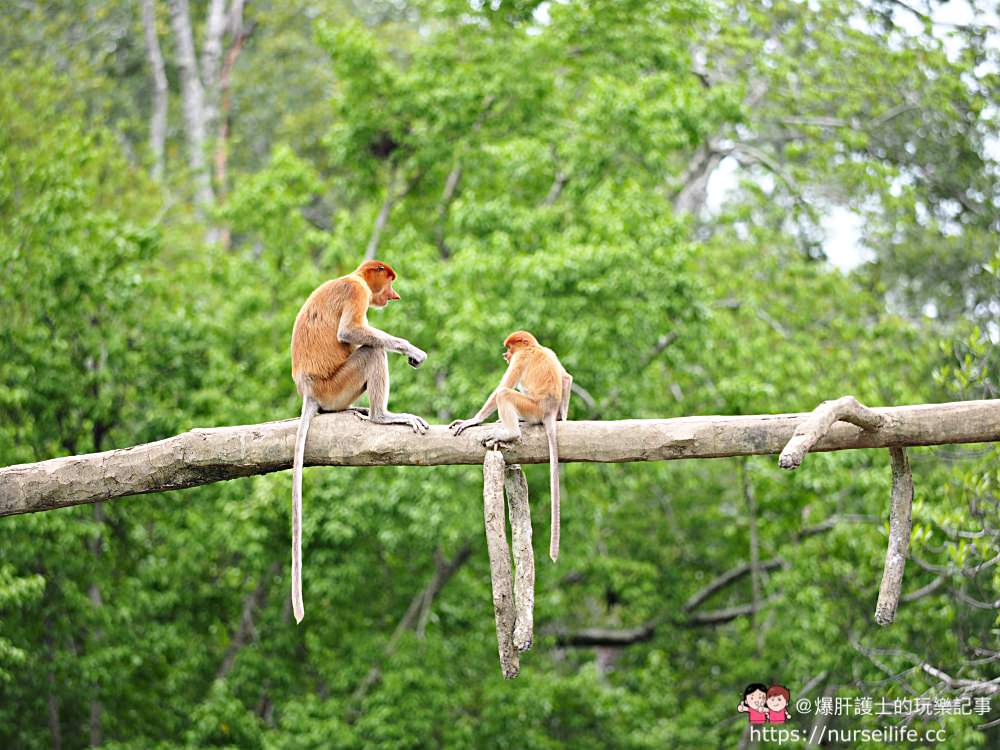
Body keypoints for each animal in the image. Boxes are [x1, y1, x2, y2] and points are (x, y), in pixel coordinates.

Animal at [290, 262, 430, 624]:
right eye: (390, 281)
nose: (394, 296)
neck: (353, 275)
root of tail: (309, 391)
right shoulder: (357, 292)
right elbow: (350, 332)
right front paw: (412, 350)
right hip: (337, 385)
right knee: (371, 352)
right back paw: (382, 416)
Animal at [452, 332, 572, 560]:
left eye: (510, 348)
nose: (505, 355)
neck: (534, 347)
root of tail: (548, 410)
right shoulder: (550, 351)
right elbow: (567, 377)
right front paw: (564, 418)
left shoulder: (520, 359)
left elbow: (500, 389)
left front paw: (472, 420)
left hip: (531, 407)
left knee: (505, 394)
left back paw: (512, 431)